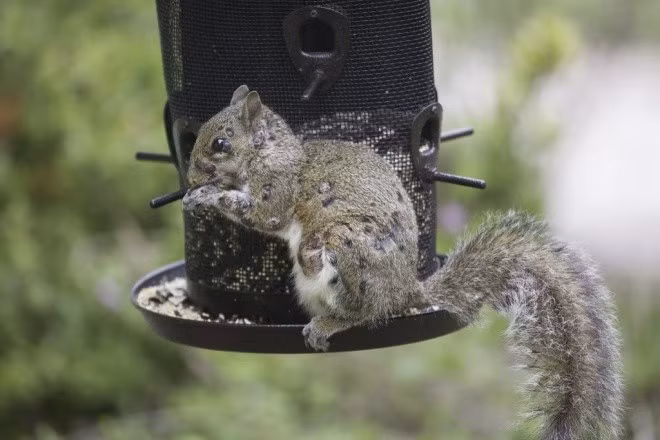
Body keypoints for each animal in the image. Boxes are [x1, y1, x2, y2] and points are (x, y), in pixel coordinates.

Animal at [183, 85, 623, 439]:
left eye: (220, 143)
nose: (190, 178)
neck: (268, 152)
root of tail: (405, 290)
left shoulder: (277, 189)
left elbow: (262, 215)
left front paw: (206, 196)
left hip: (343, 249)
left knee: (364, 312)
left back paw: (330, 323)